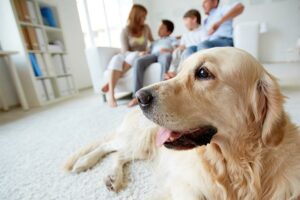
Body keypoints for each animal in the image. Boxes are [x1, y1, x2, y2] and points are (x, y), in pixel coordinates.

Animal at [63, 47, 300, 200]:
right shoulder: (186, 183)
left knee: (119, 154)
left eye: (203, 72)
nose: (139, 97)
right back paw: (85, 163)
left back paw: (111, 176)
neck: (235, 165)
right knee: (111, 147)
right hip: (142, 139)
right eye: (179, 72)